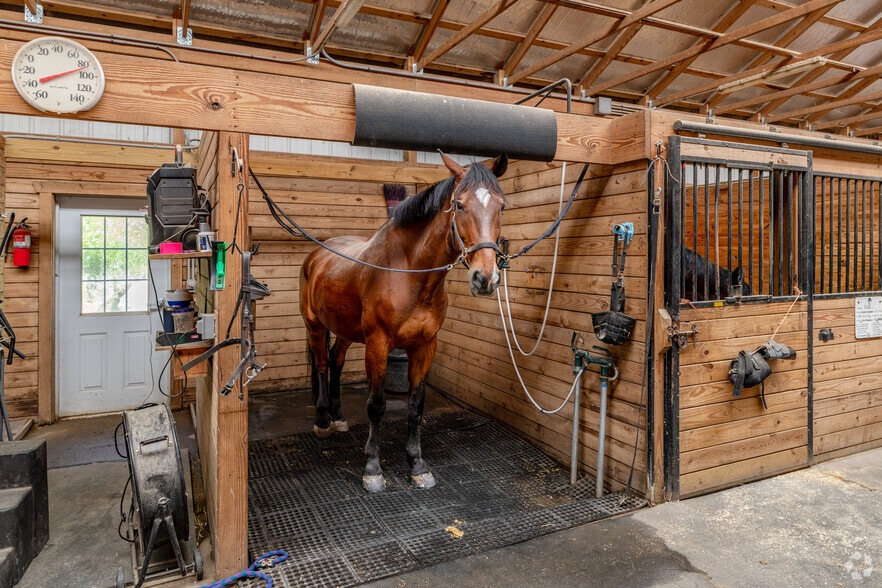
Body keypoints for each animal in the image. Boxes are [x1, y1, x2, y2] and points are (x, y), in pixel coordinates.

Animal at [299, 152, 508, 492]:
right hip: (315, 325)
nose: (485, 278)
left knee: (336, 360)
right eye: (459, 204)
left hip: (345, 330)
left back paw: (339, 417)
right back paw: (322, 422)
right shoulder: (378, 344)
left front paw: (417, 464)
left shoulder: (425, 345)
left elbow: (415, 404)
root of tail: (316, 255)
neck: (409, 274)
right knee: (320, 364)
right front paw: (372, 469)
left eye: (501, 206)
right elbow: (376, 404)